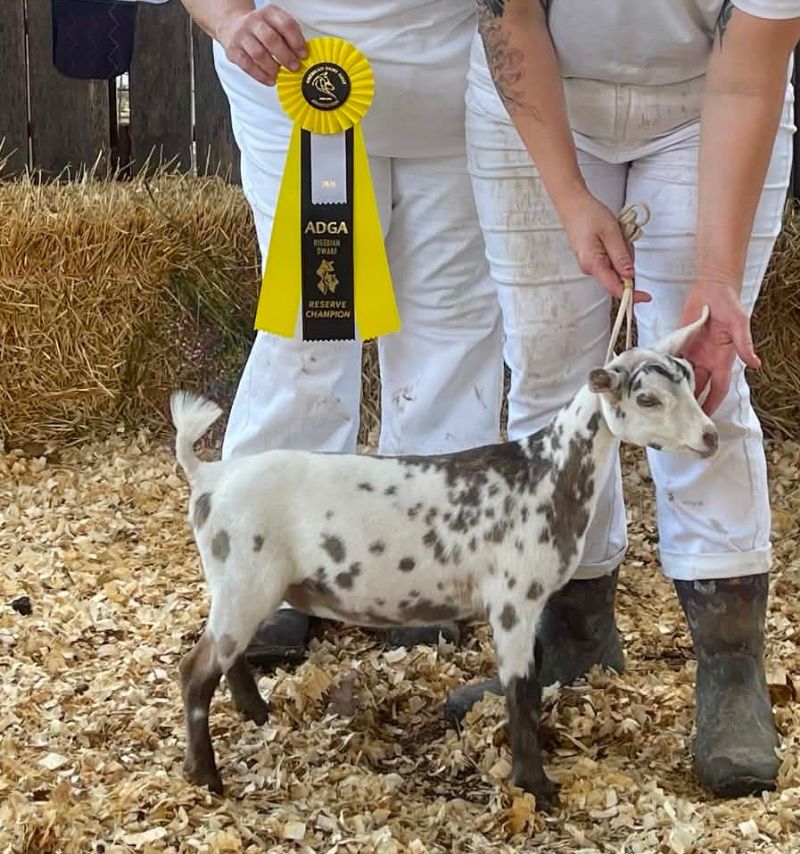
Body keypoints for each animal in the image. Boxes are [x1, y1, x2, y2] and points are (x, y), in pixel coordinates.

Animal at [170, 307, 717, 809]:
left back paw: (256, 714)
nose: (710, 437)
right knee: (195, 670)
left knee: (226, 655)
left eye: (691, 380)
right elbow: (522, 690)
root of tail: (209, 477)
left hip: (242, 588)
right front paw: (535, 786)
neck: (544, 474)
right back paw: (206, 776)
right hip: (246, 579)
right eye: (647, 398)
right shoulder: (513, 600)